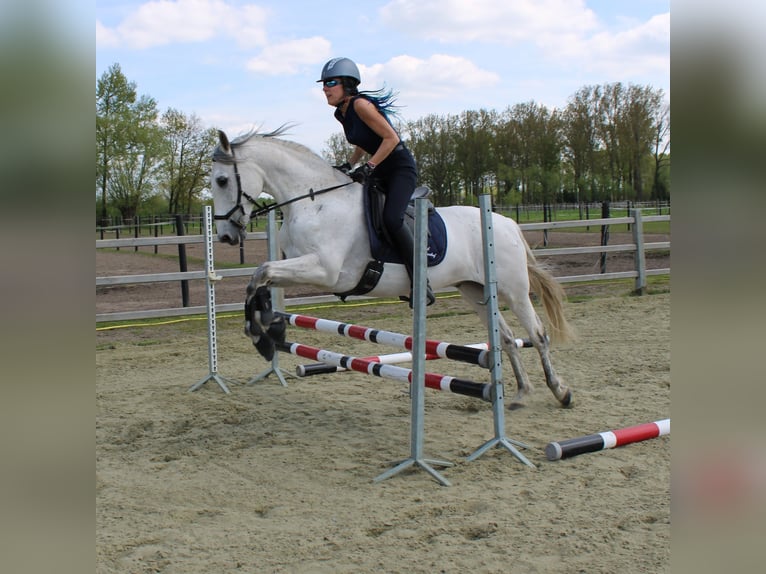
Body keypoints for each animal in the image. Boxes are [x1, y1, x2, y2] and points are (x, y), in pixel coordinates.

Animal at [210, 130, 576, 410]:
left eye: (222, 180)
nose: (225, 235)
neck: (314, 201)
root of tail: (507, 223)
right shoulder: (297, 265)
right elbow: (259, 279)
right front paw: (268, 328)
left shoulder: (326, 272)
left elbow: (260, 273)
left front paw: (262, 333)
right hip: (477, 292)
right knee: (507, 339)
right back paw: (520, 393)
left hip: (513, 291)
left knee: (537, 335)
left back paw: (561, 391)